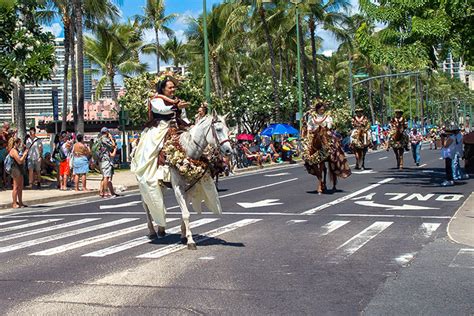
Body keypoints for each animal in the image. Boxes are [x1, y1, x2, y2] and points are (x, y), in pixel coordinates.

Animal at [145, 111, 232, 249]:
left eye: (228, 130)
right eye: (218, 129)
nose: (229, 151)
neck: (187, 150)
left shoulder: (189, 188)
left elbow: (183, 213)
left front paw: (183, 236)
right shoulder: (178, 188)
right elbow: (186, 214)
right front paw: (190, 241)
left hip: (160, 184)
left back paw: (161, 229)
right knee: (146, 206)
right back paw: (152, 231)